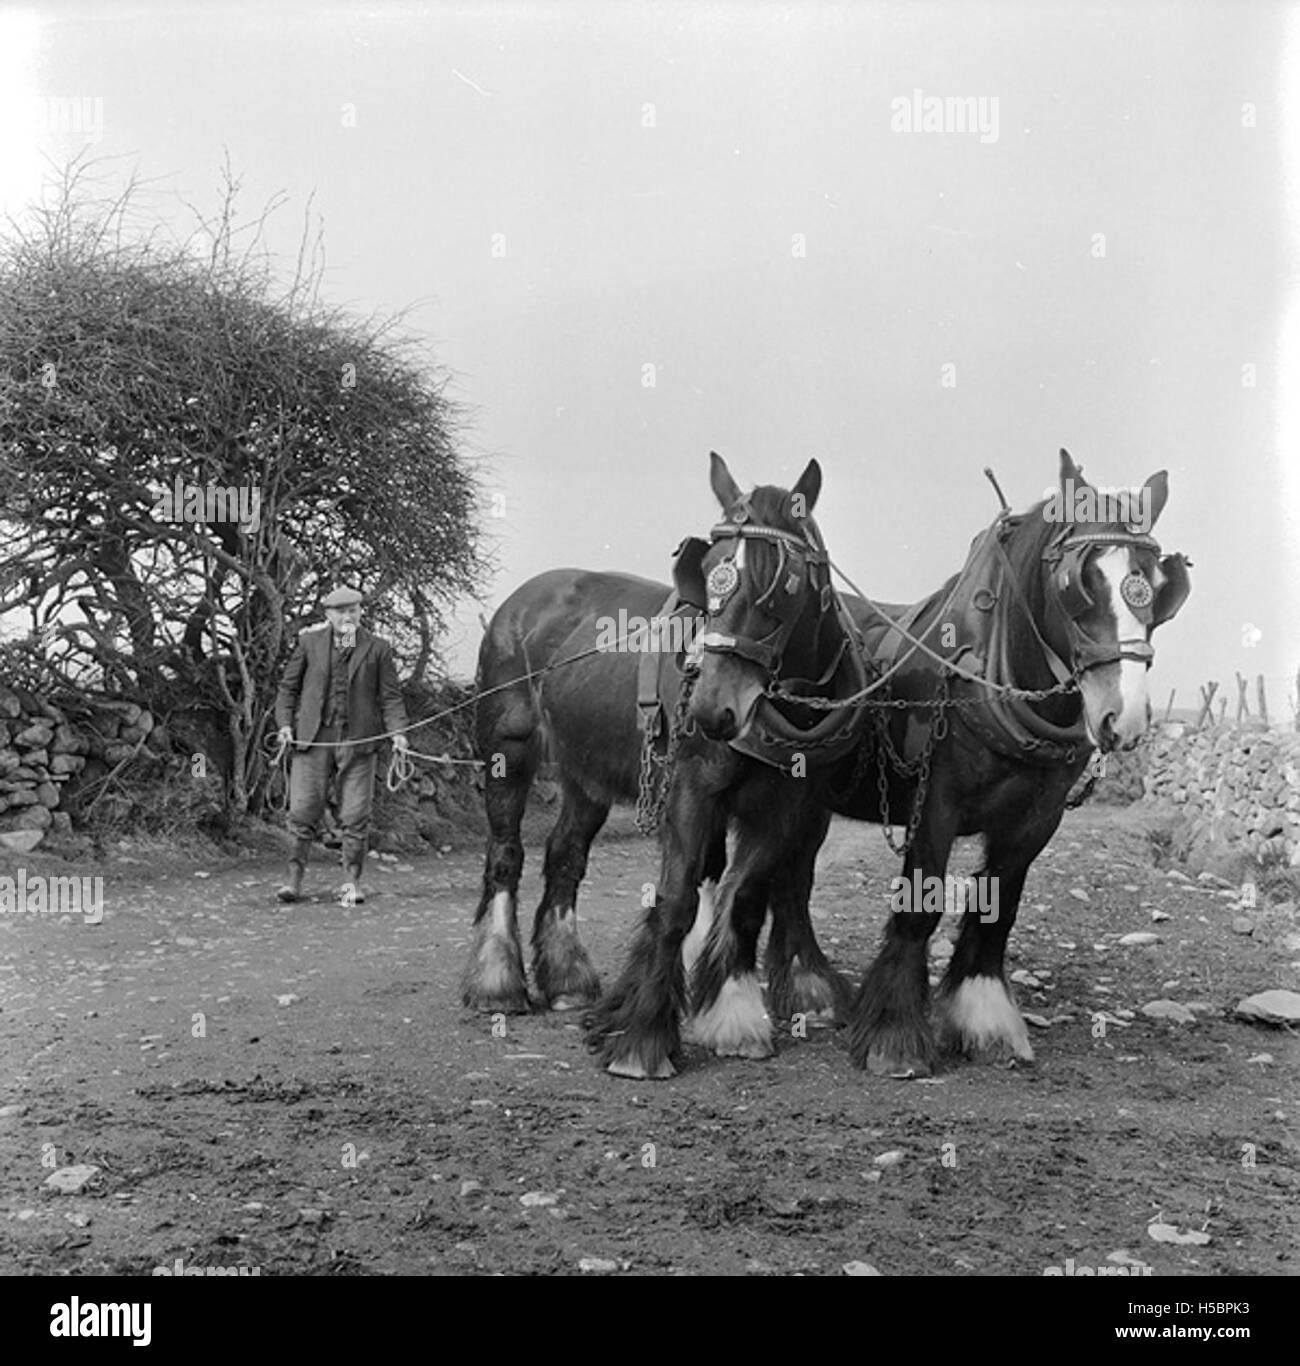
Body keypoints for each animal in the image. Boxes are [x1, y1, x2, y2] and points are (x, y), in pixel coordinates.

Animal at [462, 454, 854, 1029]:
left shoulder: (800, 801)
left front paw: (802, 988)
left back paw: (567, 980)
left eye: (782, 582)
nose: (712, 706)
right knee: (506, 853)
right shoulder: (694, 786)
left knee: (565, 854)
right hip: (507, 750)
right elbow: (694, 887)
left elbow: (784, 883)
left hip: (586, 773)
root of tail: (517, 605)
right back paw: (497, 982)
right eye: (706, 566)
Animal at [684, 448, 1191, 1077]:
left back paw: (809, 989)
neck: (995, 668)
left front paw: (983, 1015)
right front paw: (894, 1034)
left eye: (1160, 586)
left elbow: (1000, 906)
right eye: (1078, 584)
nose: (1125, 716)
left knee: (793, 878)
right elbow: (920, 904)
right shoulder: (937, 802)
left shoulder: (1038, 818)